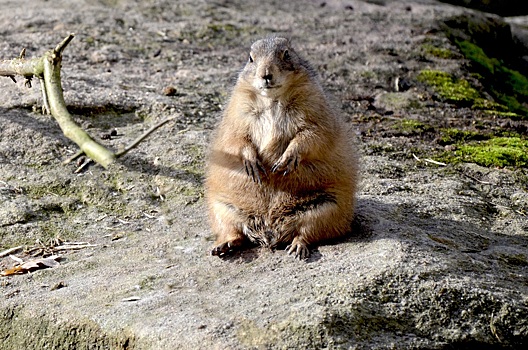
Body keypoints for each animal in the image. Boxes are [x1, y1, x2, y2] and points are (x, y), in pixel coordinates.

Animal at [204, 37, 356, 258]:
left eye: (286, 54)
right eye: (250, 58)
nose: (266, 74)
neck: (272, 99)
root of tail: (270, 233)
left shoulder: (315, 107)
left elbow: (313, 134)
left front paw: (285, 161)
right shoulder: (236, 111)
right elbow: (235, 138)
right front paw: (253, 163)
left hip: (329, 207)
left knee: (306, 232)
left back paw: (297, 248)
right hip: (220, 206)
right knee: (234, 232)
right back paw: (224, 246)